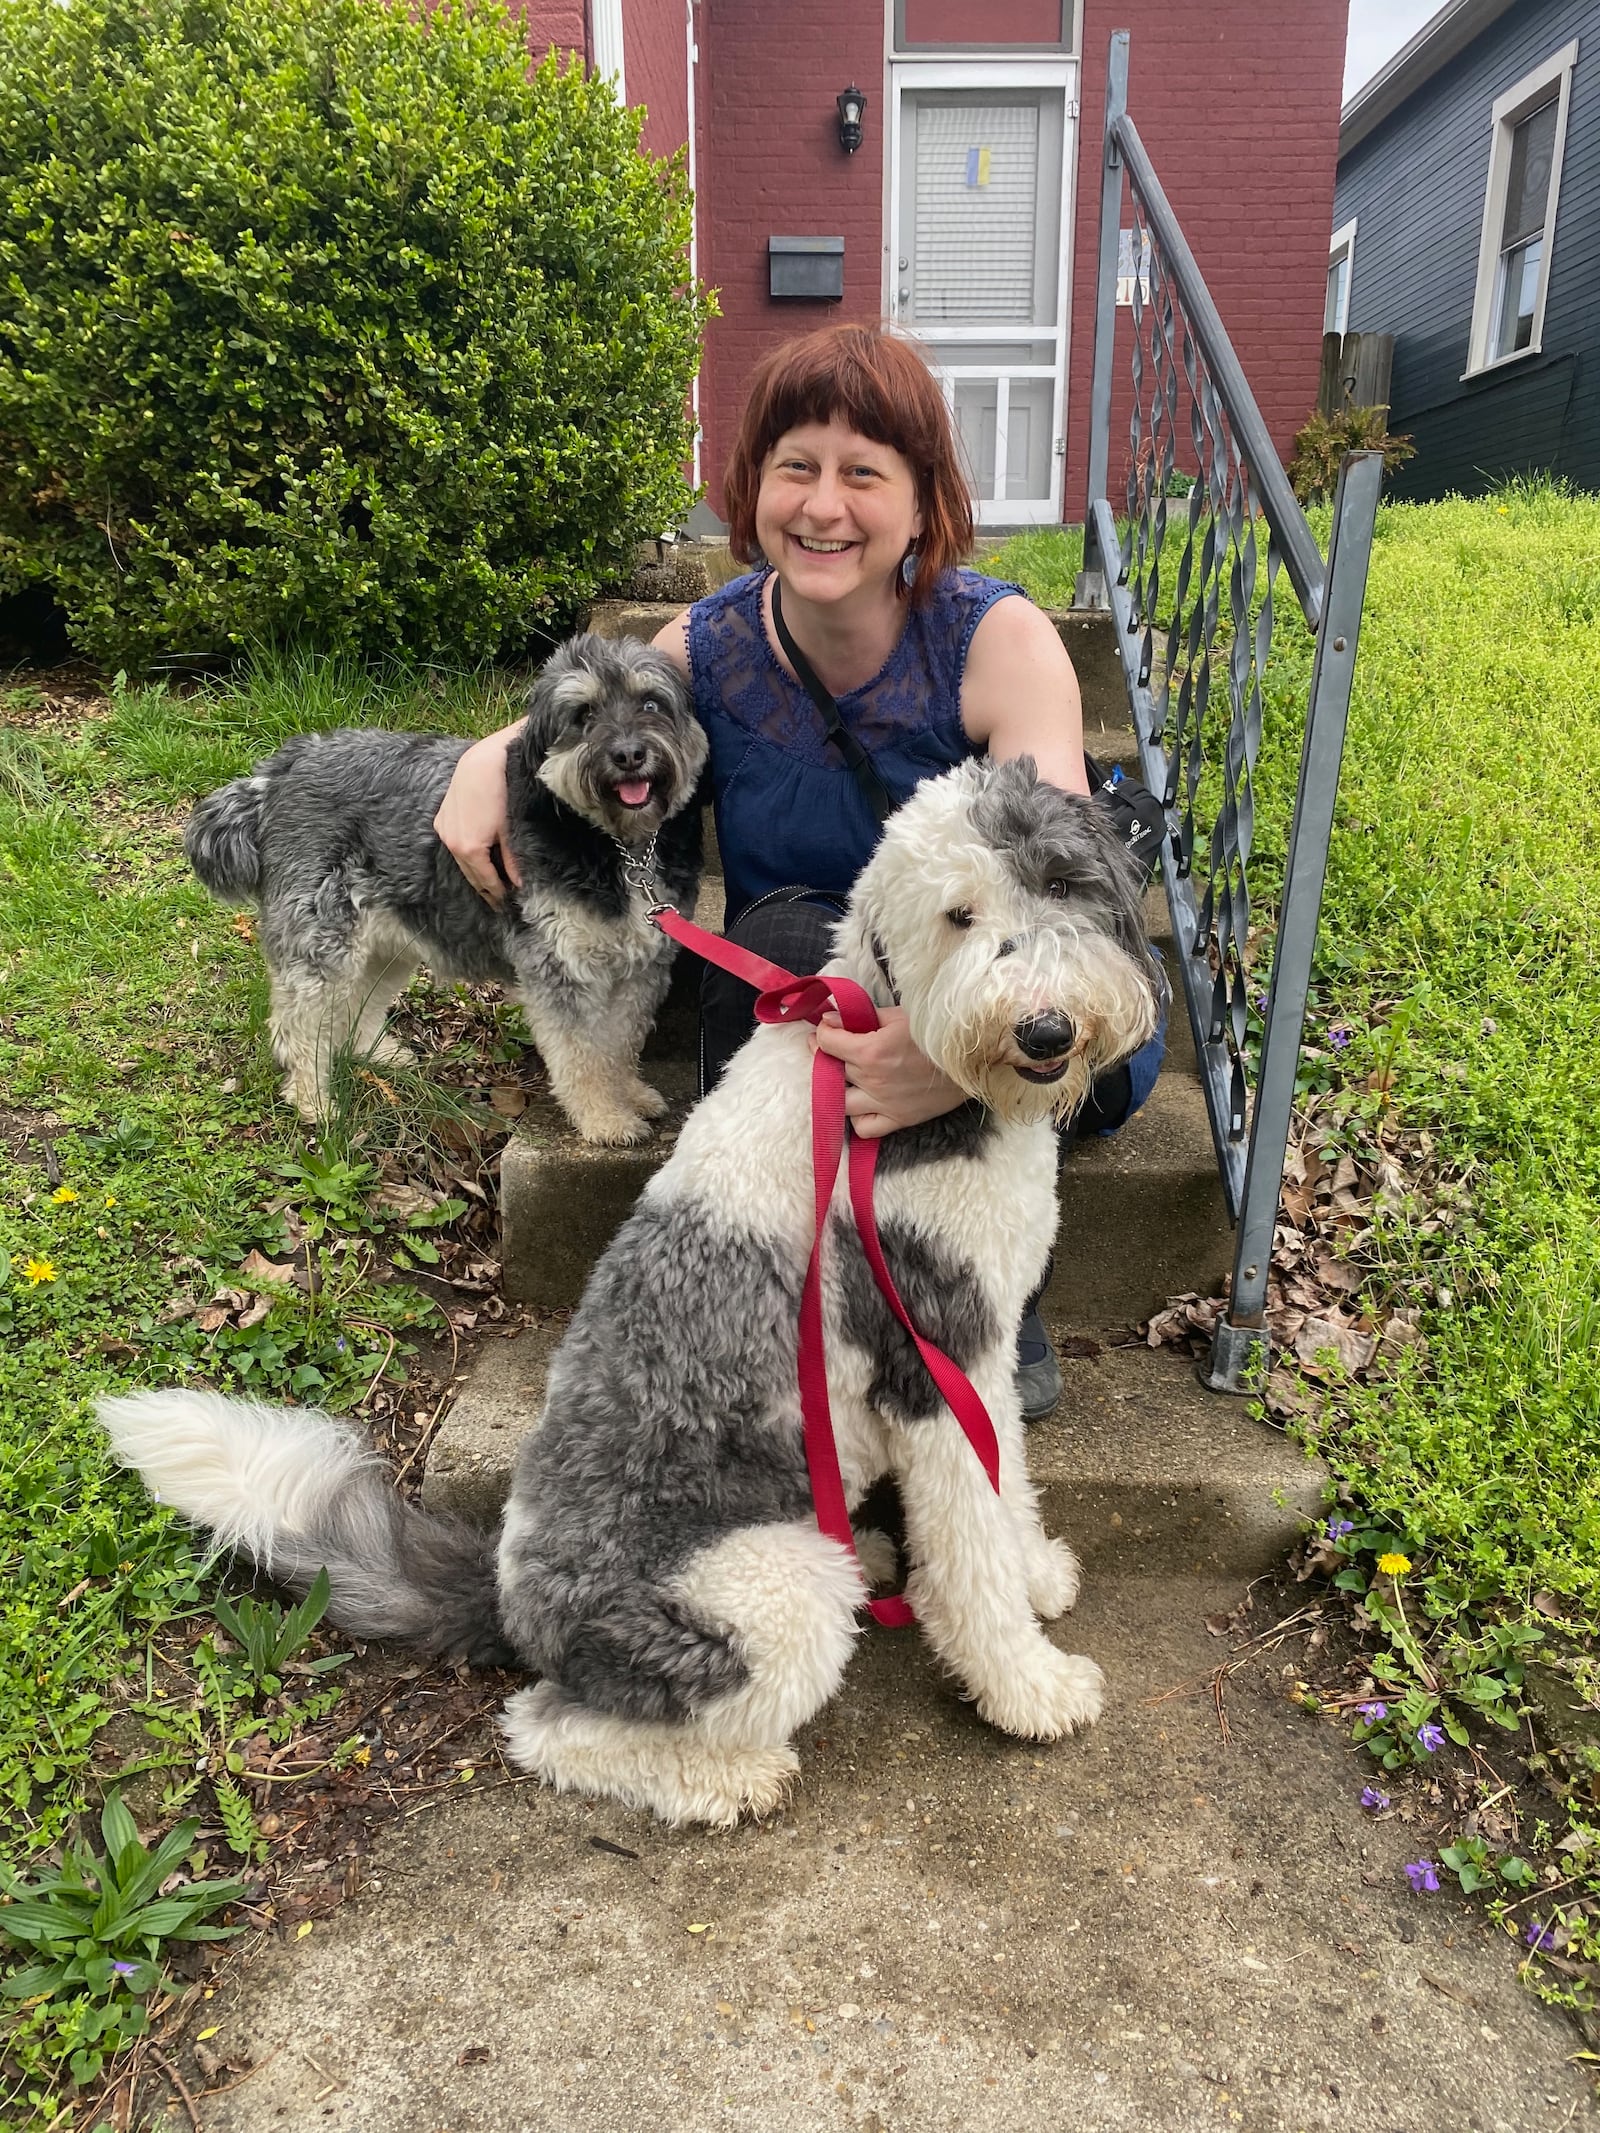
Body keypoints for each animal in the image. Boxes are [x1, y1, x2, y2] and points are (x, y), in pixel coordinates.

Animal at [109, 759, 1169, 1825]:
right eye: (958, 914)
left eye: (1063, 881)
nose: (1045, 1026)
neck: (881, 1075)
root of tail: (510, 1604)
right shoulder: (930, 1359)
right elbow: (971, 1542)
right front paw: (1031, 1686)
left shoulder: (983, 1351)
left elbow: (1008, 1483)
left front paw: (1037, 1573)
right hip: (767, 1589)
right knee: (552, 1729)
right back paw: (734, 1776)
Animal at [186, 635, 708, 1151]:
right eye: (584, 714)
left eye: (650, 702)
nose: (629, 755)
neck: (617, 845)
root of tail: (277, 773)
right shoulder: (561, 969)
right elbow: (585, 1056)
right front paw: (605, 1118)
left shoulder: (641, 969)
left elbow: (619, 1045)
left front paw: (631, 1094)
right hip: (322, 943)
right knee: (297, 1026)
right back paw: (313, 1100)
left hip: (385, 943)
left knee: (357, 1004)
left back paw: (377, 1055)